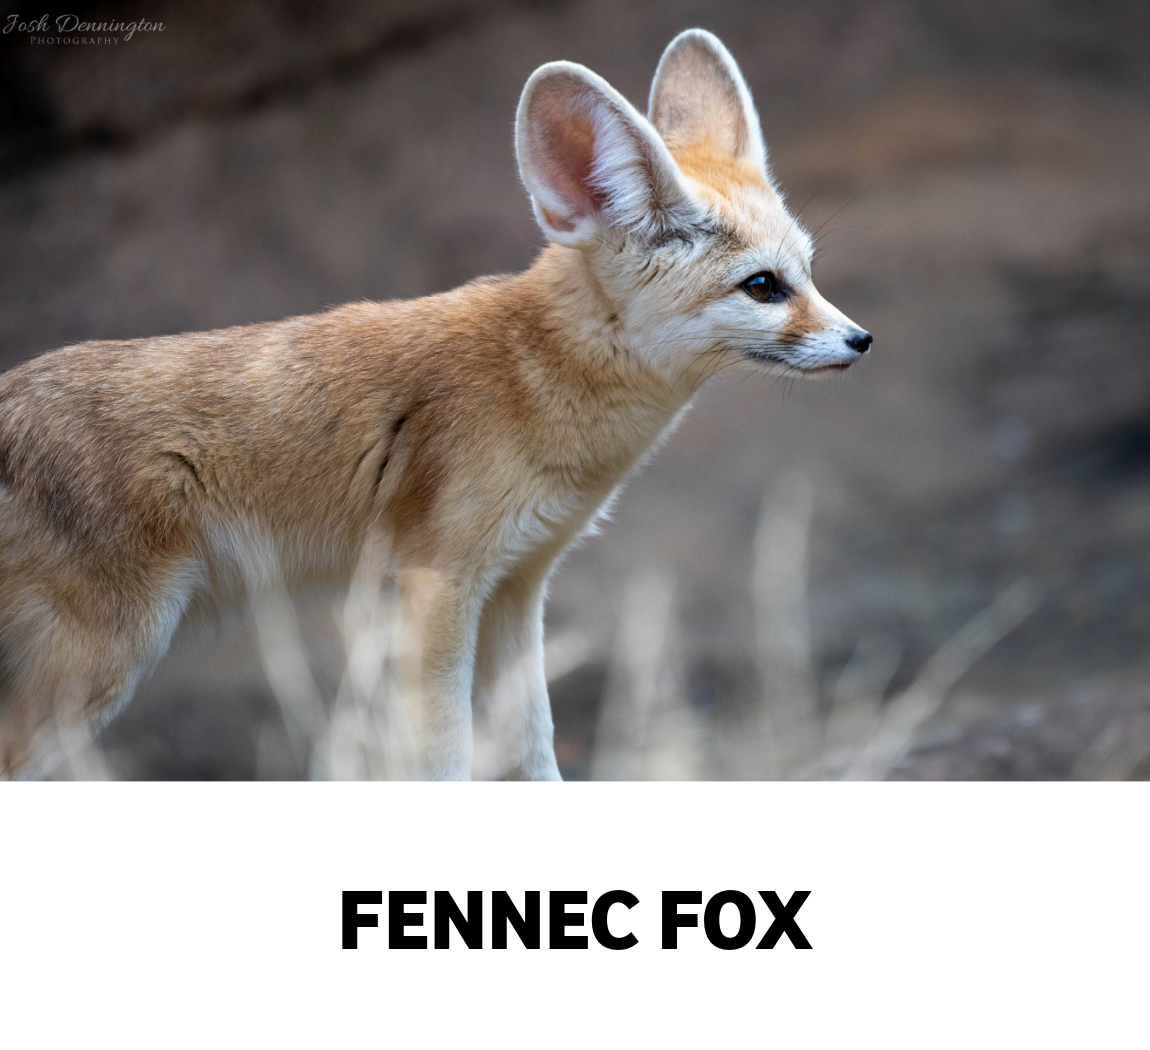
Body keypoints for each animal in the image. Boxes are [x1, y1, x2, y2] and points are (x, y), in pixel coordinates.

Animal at [0, 30, 870, 780]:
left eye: (809, 272)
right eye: (763, 287)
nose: (862, 340)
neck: (535, 375)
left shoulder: (519, 587)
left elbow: (536, 757)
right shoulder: (437, 586)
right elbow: (446, 763)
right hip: (106, 661)